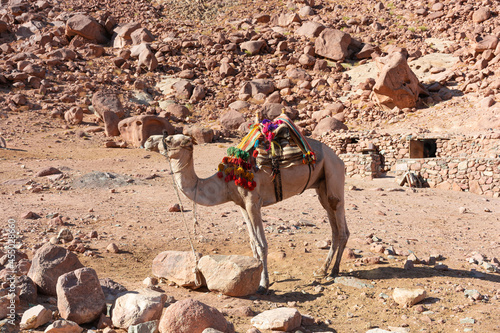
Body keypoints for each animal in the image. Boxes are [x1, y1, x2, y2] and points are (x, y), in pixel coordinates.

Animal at [164, 134, 348, 292]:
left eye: (169, 140)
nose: (159, 141)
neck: (225, 181)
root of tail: (339, 159)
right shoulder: (242, 205)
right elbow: (253, 242)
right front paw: (255, 276)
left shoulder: (253, 202)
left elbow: (261, 245)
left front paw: (263, 284)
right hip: (322, 186)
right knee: (335, 226)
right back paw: (322, 269)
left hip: (333, 175)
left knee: (341, 226)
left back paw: (334, 270)